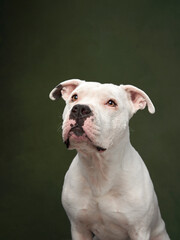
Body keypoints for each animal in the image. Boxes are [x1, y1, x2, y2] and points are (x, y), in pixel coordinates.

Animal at [48, 80, 169, 240]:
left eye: (111, 103)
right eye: (74, 97)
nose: (80, 109)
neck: (99, 168)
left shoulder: (139, 230)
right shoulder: (79, 228)